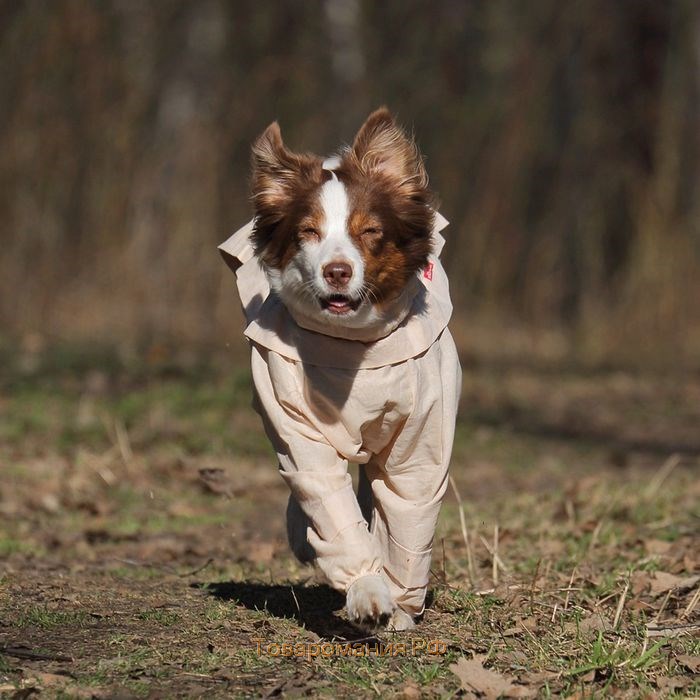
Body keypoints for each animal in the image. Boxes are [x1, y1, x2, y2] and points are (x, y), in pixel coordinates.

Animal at [219, 106, 460, 632]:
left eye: (369, 232)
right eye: (308, 232)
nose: (337, 271)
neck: (354, 349)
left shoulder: (421, 435)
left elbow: (407, 502)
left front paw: (401, 609)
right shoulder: (291, 415)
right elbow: (324, 495)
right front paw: (367, 593)